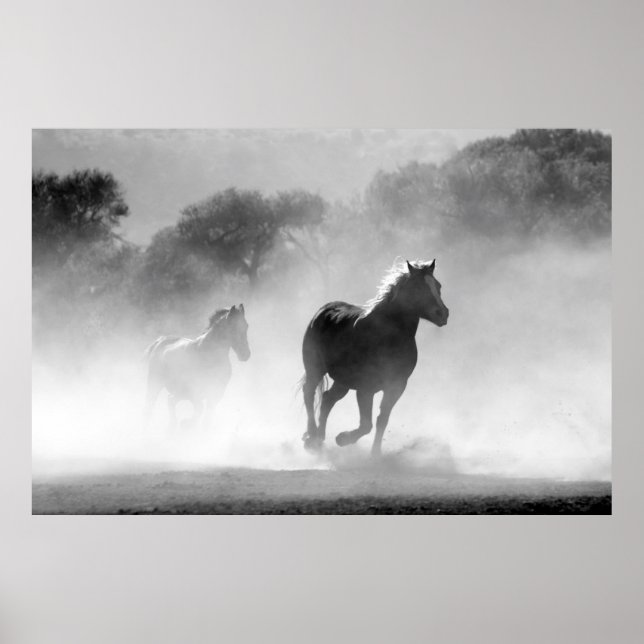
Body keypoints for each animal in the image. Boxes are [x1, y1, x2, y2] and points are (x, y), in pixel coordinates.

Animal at [301, 259, 449, 456]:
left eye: (438, 286)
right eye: (418, 287)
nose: (443, 313)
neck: (388, 337)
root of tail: (323, 310)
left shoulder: (396, 386)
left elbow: (382, 420)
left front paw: (375, 454)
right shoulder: (366, 388)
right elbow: (366, 425)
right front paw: (342, 439)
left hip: (343, 381)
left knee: (327, 399)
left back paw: (319, 439)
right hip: (315, 368)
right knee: (309, 392)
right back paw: (311, 436)